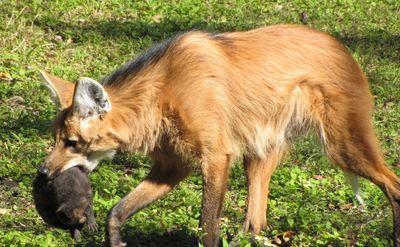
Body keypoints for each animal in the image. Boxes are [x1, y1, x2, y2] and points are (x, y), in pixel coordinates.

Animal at [37, 25, 400, 247]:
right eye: (57, 139)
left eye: (72, 143)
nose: (43, 172)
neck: (161, 95)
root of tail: (340, 45)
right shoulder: (173, 166)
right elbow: (117, 211)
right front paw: (115, 240)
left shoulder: (215, 158)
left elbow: (207, 226)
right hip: (259, 152)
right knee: (256, 220)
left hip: (343, 146)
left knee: (393, 185)